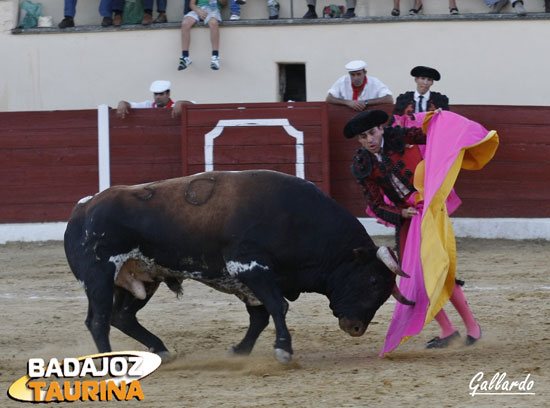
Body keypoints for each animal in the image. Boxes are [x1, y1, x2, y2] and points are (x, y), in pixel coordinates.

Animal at [64, 170, 414, 364]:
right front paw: (283, 350)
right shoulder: (249, 267)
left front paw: (239, 351)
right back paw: (106, 365)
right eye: (372, 281)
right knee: (98, 321)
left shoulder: (248, 280)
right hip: (100, 275)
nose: (355, 328)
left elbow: (260, 316)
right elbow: (277, 306)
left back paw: (160, 351)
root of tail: (82, 208)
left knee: (122, 316)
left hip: (143, 277)